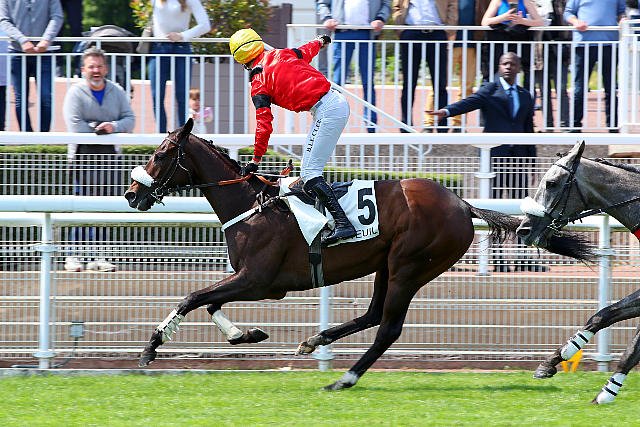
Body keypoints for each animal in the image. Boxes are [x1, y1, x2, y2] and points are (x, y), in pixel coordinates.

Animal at [124, 118, 525, 390]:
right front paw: (246, 335)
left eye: (161, 154)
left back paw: (343, 379)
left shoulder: (259, 281)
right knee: (373, 314)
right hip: (388, 264)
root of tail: (462, 203)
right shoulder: (251, 280)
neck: (252, 206)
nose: (130, 194)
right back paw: (315, 341)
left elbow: (193, 297)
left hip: (410, 266)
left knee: (388, 328)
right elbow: (210, 303)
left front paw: (150, 348)